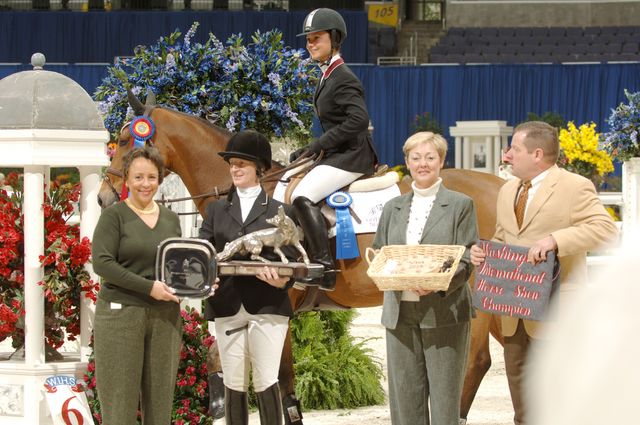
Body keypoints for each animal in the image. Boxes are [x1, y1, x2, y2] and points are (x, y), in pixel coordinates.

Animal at [99, 94, 504, 422]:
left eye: (125, 140)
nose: (104, 198)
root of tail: (503, 187)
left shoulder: (274, 310)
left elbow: (259, 379)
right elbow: (277, 386)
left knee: (474, 361)